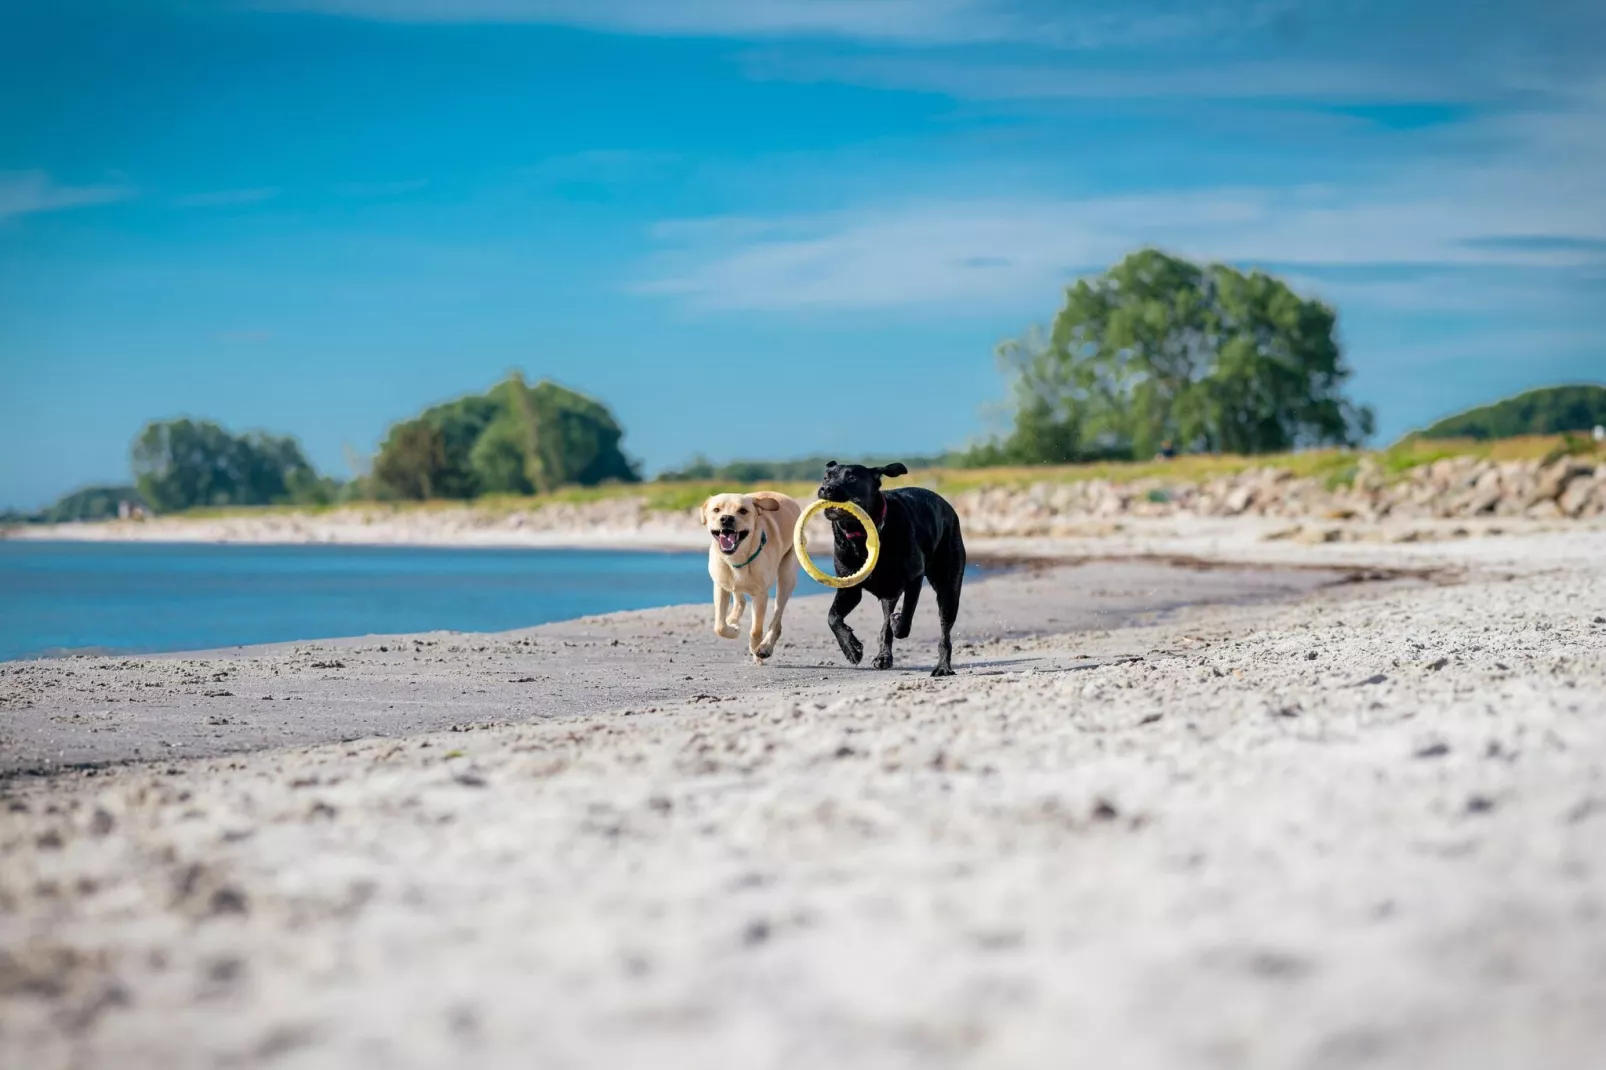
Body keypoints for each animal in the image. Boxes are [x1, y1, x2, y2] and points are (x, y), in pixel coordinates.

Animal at [703, 488, 803, 658]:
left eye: (743, 511)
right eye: (716, 510)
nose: (726, 518)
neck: (737, 558)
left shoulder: (760, 595)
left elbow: (756, 628)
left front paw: (756, 649)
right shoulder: (721, 587)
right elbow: (719, 626)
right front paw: (733, 630)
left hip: (787, 577)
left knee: (777, 618)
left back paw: (765, 646)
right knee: (740, 600)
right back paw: (733, 620)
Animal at [815, 459, 963, 674]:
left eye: (852, 478)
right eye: (827, 477)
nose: (826, 488)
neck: (862, 536)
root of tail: (948, 507)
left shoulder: (914, 578)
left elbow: (905, 618)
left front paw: (897, 621)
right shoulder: (850, 589)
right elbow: (832, 617)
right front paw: (851, 648)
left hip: (948, 589)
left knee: (945, 632)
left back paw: (943, 667)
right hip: (889, 595)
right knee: (884, 627)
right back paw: (883, 657)